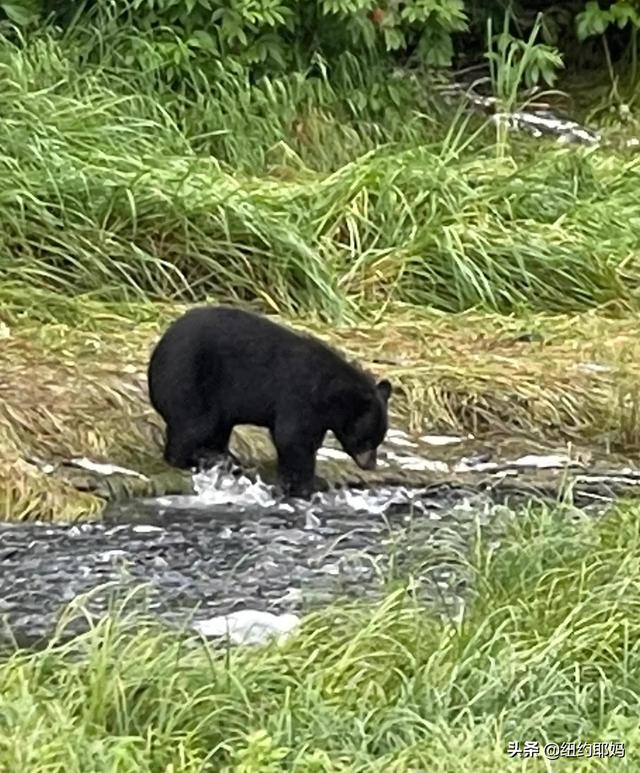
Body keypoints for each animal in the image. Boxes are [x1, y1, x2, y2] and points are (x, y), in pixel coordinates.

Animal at [147, 305, 392, 498]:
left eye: (379, 438)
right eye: (367, 440)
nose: (370, 465)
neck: (330, 394)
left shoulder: (318, 416)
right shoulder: (300, 396)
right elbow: (292, 438)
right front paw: (303, 485)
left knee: (216, 430)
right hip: (190, 383)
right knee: (192, 427)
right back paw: (192, 459)